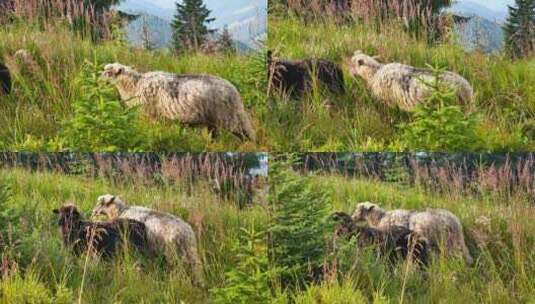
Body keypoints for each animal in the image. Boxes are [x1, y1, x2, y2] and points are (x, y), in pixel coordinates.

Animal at [103, 63, 260, 142]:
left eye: (108, 72)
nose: (100, 79)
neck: (134, 85)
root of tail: (234, 92)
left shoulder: (151, 116)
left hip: (228, 117)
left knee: (245, 134)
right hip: (214, 121)